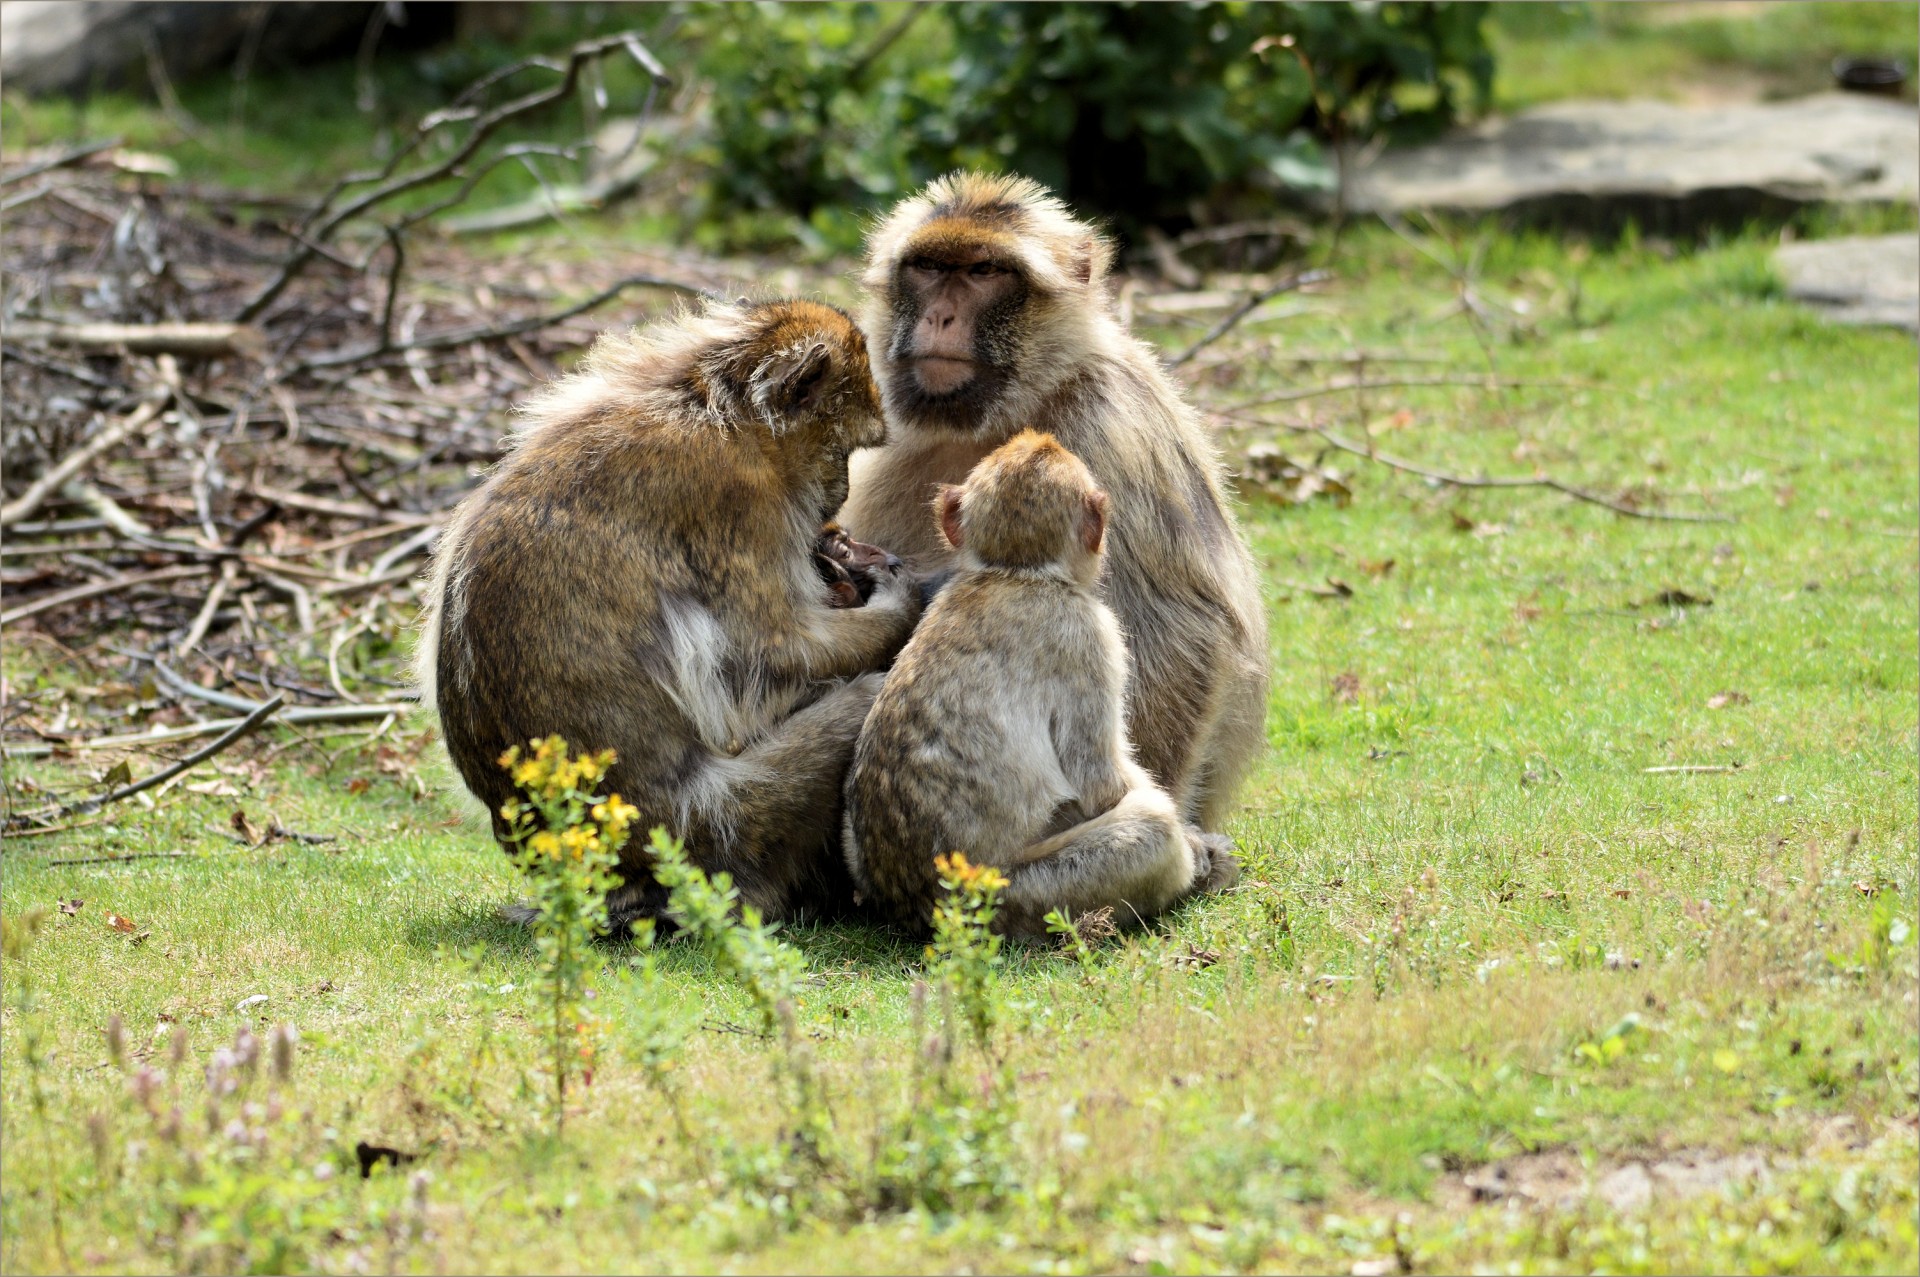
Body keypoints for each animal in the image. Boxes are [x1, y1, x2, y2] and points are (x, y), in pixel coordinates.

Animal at [844, 430, 1236, 937]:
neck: (1015, 572)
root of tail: (923, 906)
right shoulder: (1093, 637)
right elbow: (1100, 785)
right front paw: (1198, 846)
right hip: (1019, 896)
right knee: (1151, 829)